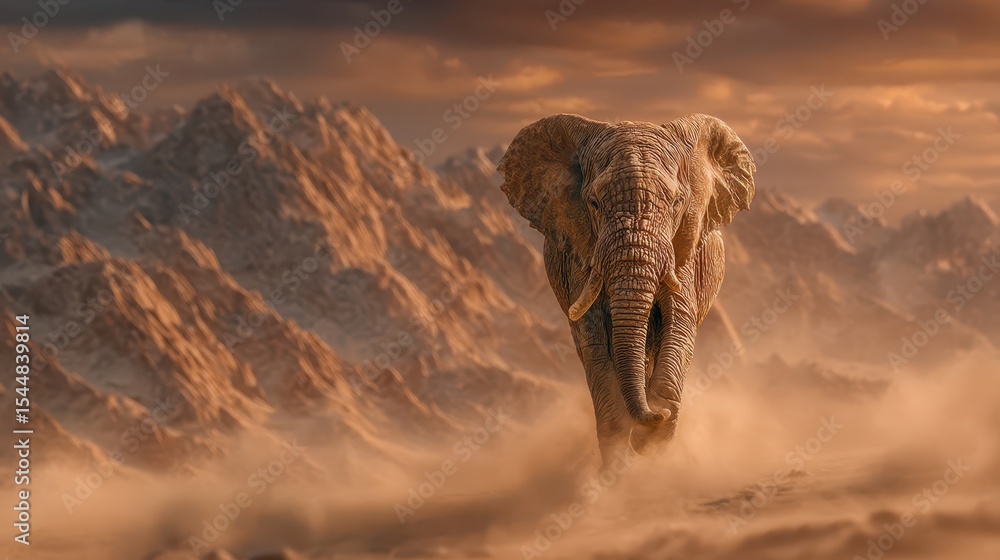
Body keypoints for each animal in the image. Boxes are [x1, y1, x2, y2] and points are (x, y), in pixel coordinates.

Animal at [497, 113, 755, 465]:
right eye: (593, 203)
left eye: (677, 203)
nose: (655, 414)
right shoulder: (583, 250)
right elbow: (593, 338)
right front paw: (622, 456)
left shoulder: (683, 250)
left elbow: (679, 326)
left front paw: (653, 437)